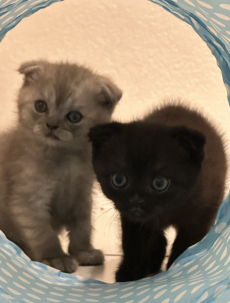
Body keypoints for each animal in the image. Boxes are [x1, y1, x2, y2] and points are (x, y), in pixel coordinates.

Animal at [0, 60, 122, 274]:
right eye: (40, 106)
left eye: (74, 117)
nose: (51, 124)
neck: (66, 159)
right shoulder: (28, 200)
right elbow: (43, 233)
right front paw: (55, 257)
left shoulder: (83, 195)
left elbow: (83, 227)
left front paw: (83, 252)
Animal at [88, 104, 226, 282]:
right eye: (118, 179)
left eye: (160, 183)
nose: (136, 200)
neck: (169, 211)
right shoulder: (132, 220)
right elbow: (133, 245)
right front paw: (129, 274)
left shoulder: (199, 219)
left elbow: (184, 246)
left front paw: (176, 269)